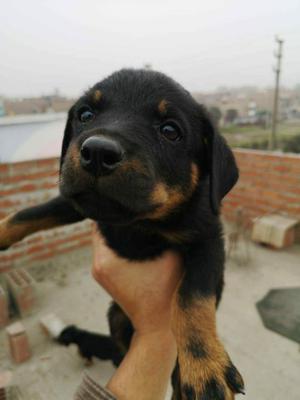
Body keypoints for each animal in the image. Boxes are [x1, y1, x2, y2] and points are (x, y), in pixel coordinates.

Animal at [0, 69, 244, 400]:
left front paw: (204, 366)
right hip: (115, 316)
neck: (136, 223)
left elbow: (191, 298)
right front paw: (2, 231)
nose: (97, 152)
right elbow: (33, 212)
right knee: (121, 348)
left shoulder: (208, 239)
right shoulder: (76, 201)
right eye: (85, 115)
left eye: (170, 130)